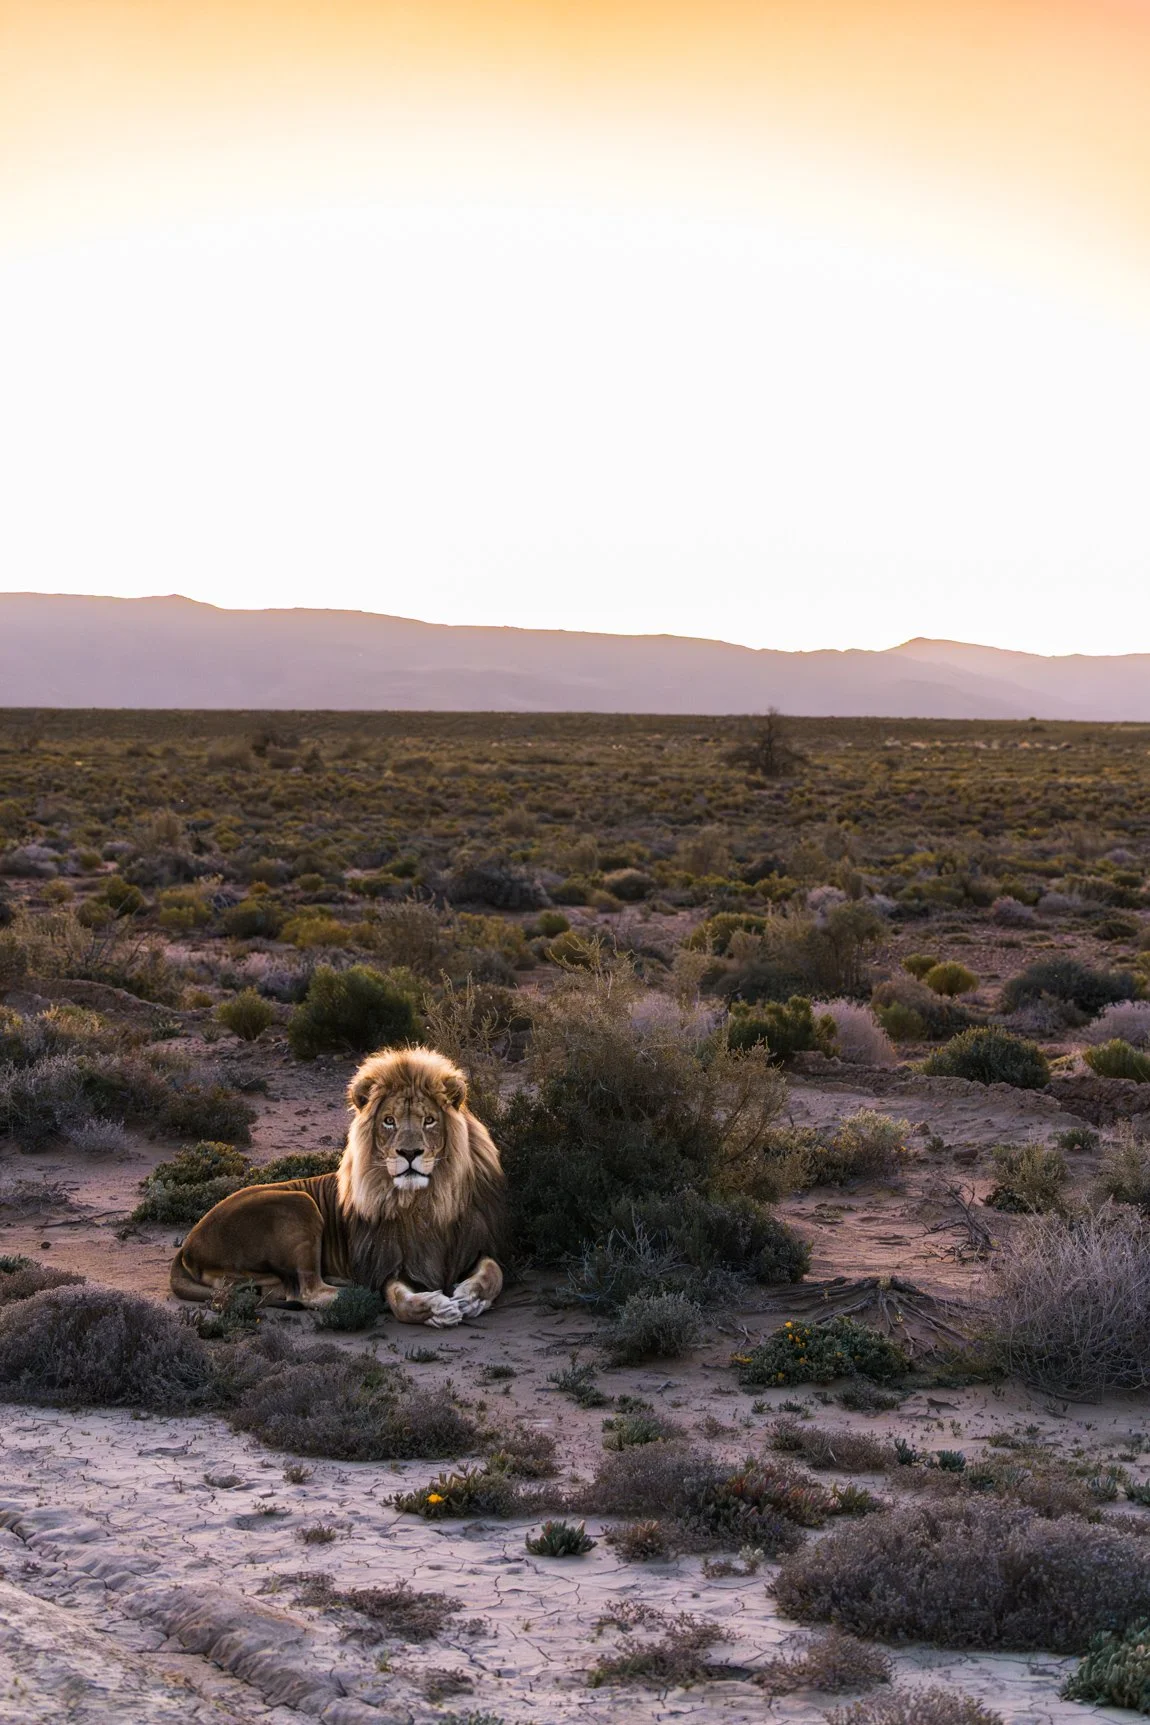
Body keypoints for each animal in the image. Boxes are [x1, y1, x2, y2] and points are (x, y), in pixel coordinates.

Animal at [169, 1046, 504, 1327]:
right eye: (389, 1121)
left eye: (430, 1121)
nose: (409, 1153)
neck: (423, 1202)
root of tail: (188, 1244)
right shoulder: (385, 1264)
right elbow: (399, 1301)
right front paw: (435, 1308)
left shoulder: (475, 1246)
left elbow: (494, 1273)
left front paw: (470, 1298)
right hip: (299, 1203)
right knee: (307, 1292)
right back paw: (359, 1291)